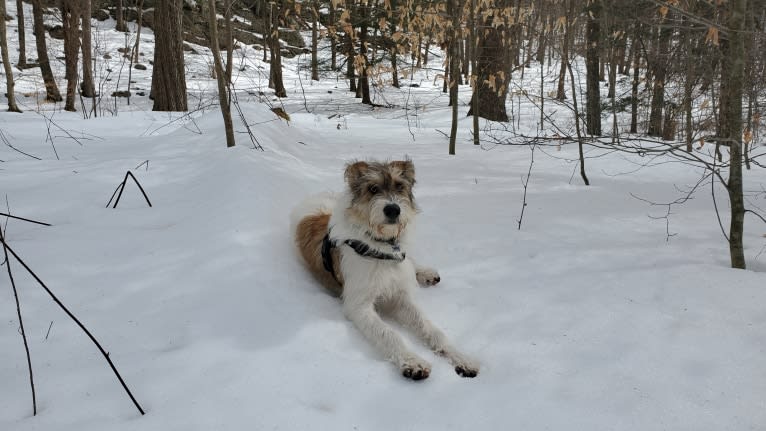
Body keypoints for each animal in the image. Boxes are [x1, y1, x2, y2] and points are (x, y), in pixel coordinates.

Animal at [292, 159, 480, 382]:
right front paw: (413, 362)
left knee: (411, 262)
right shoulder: (359, 306)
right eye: (373, 189)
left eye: (399, 186)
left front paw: (462, 358)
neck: (381, 245)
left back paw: (425, 273)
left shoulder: (401, 297)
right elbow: (389, 334)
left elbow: (432, 330)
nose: (393, 210)